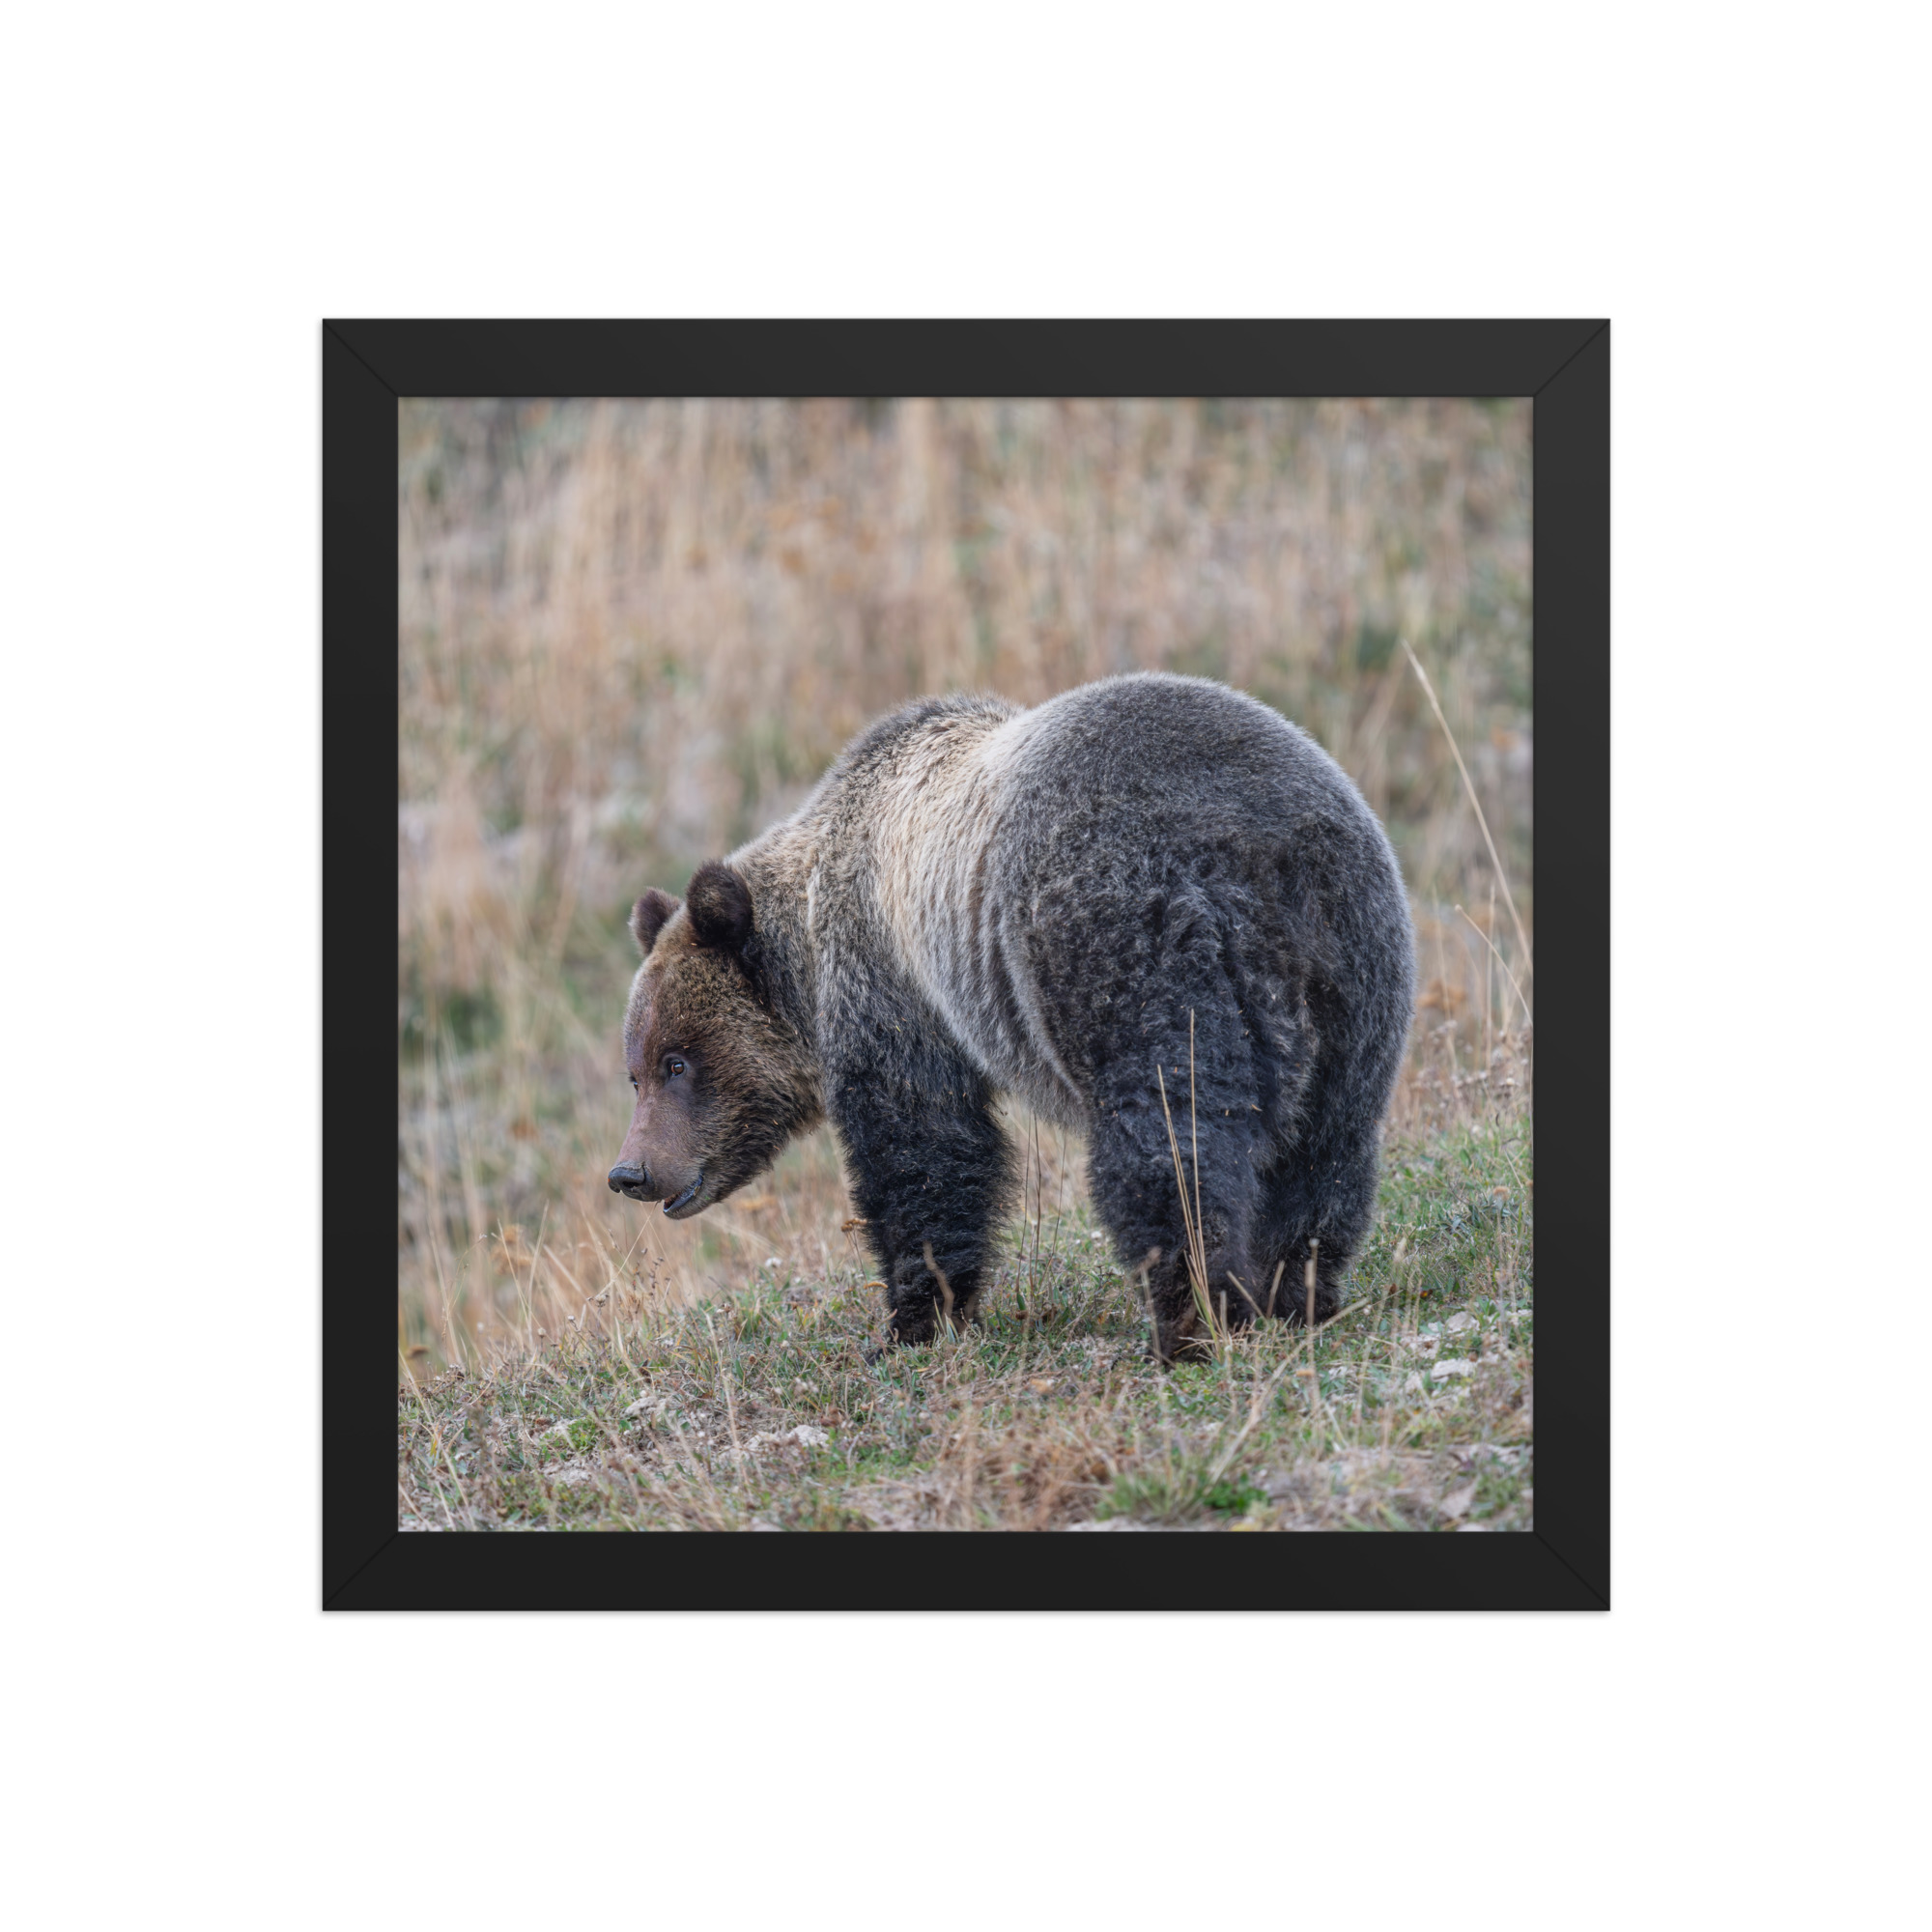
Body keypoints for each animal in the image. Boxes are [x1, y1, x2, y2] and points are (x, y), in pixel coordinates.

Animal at [607, 671, 1415, 1363]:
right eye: (635, 1071)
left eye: (677, 1061)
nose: (631, 1171)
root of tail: (1256, 854)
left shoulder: (894, 987)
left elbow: (924, 1150)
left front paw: (912, 1320)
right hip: (1354, 967)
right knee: (1326, 1147)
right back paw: (1296, 1292)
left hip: (1126, 945)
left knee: (1169, 1142)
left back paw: (1190, 1321)